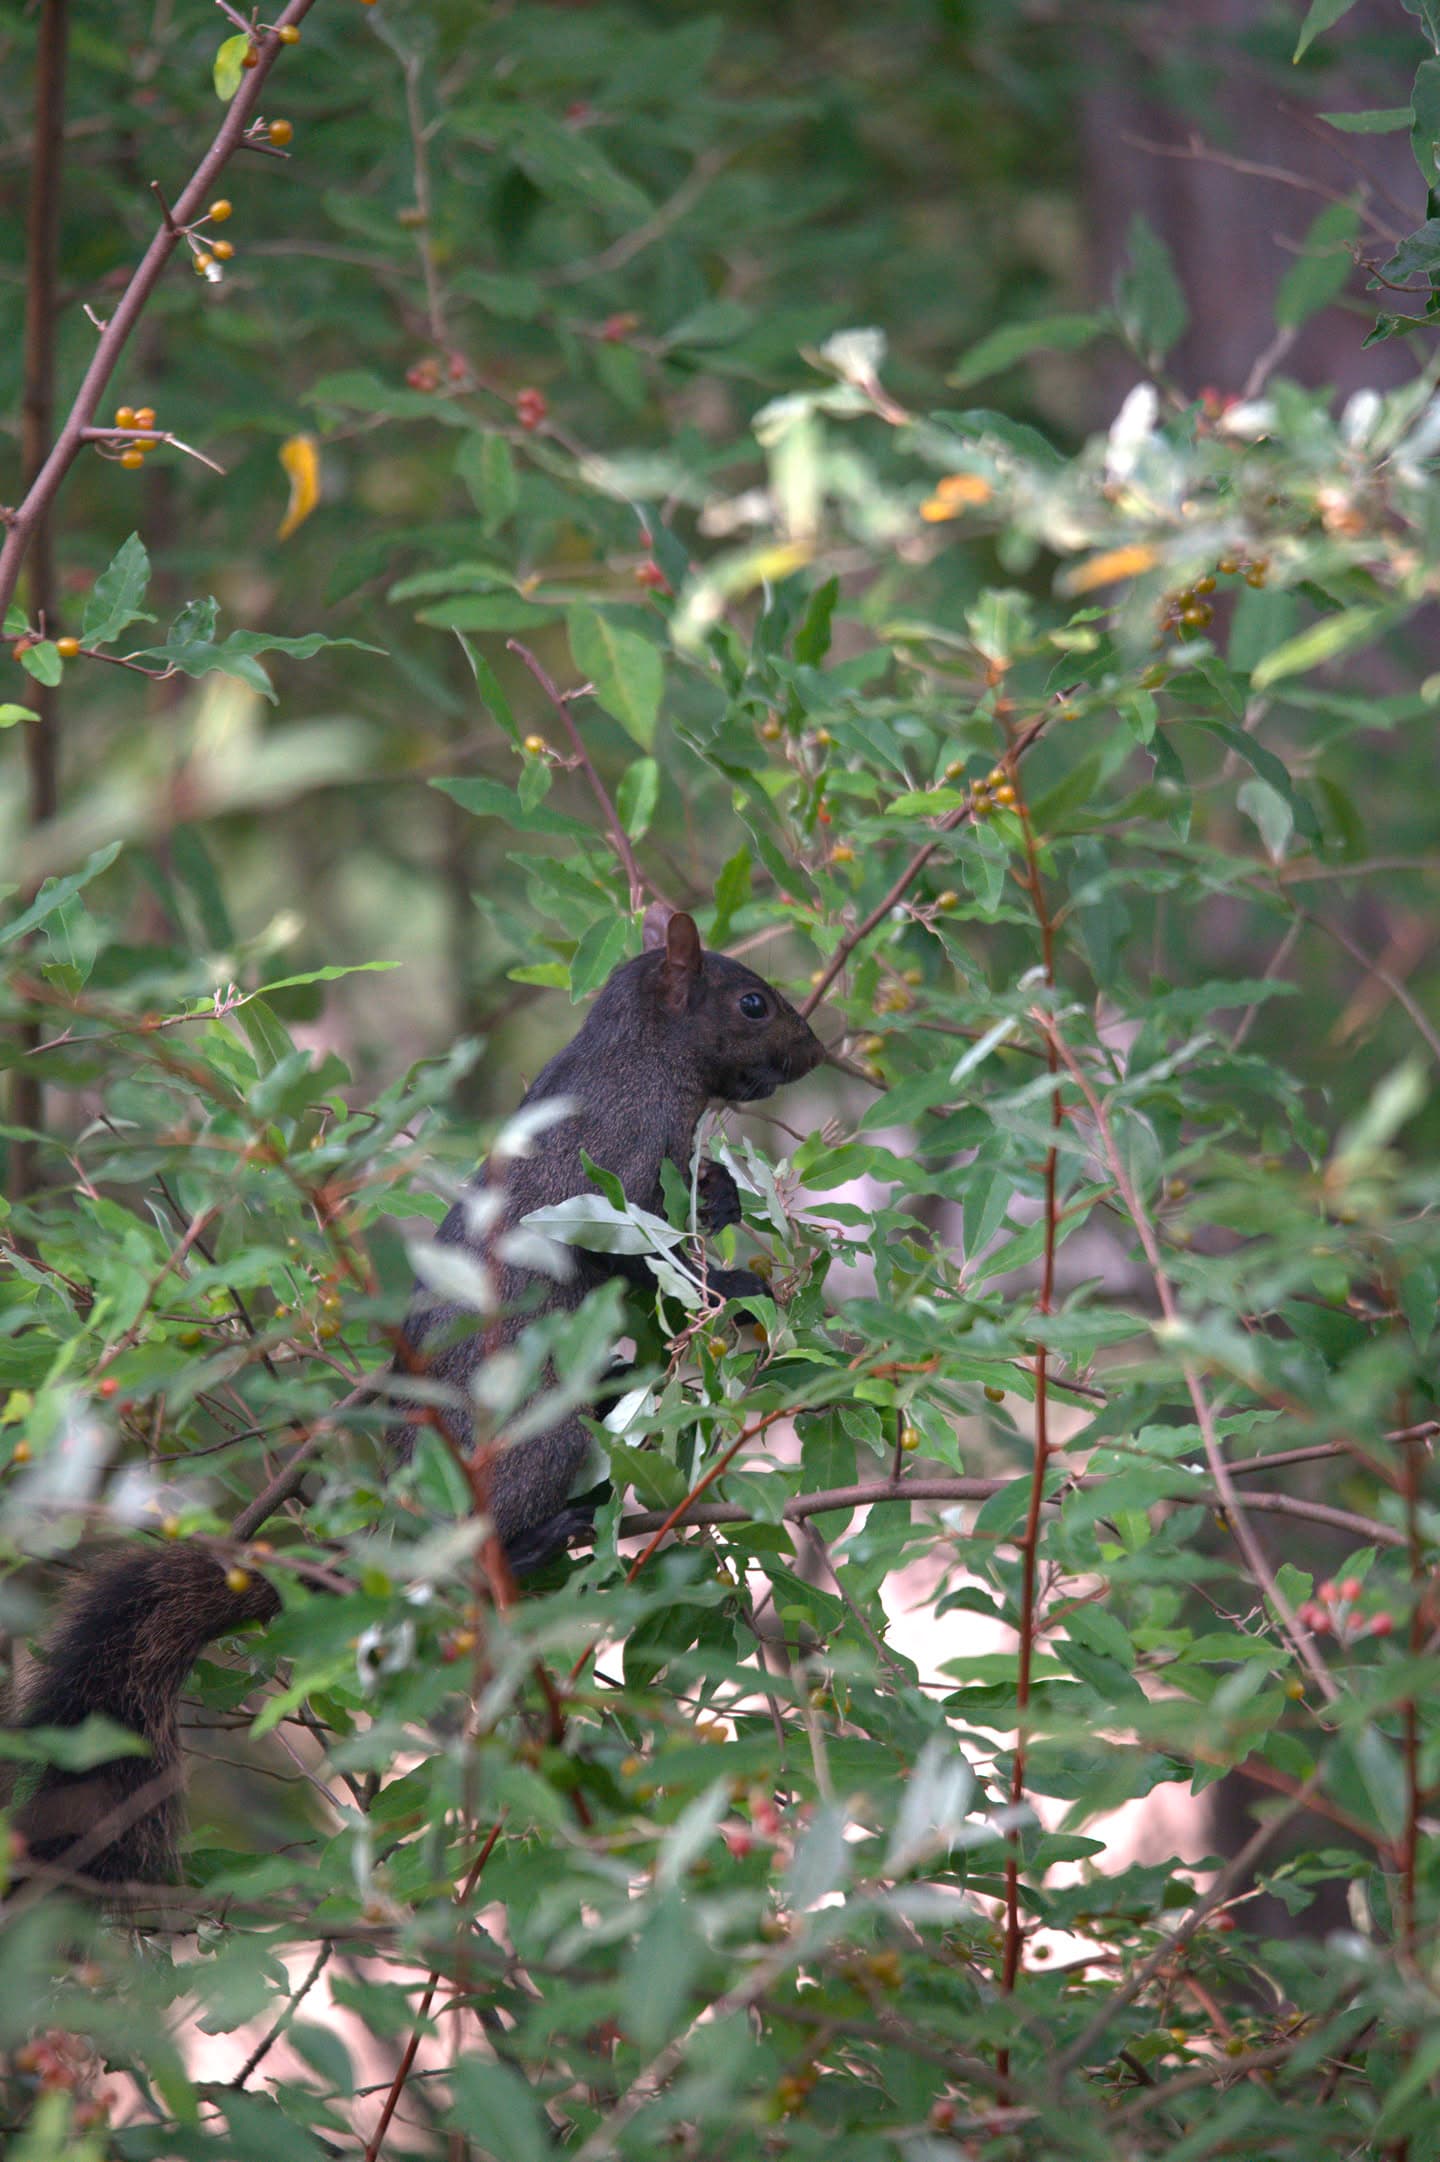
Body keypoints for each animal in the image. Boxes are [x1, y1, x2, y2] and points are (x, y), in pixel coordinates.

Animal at [391, 907, 823, 1571]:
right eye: (754, 1004)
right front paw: (735, 1289)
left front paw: (721, 1193)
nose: (816, 1052)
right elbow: (644, 1258)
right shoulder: (616, 1161)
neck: (643, 1057)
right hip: (538, 1428)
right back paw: (545, 1534)